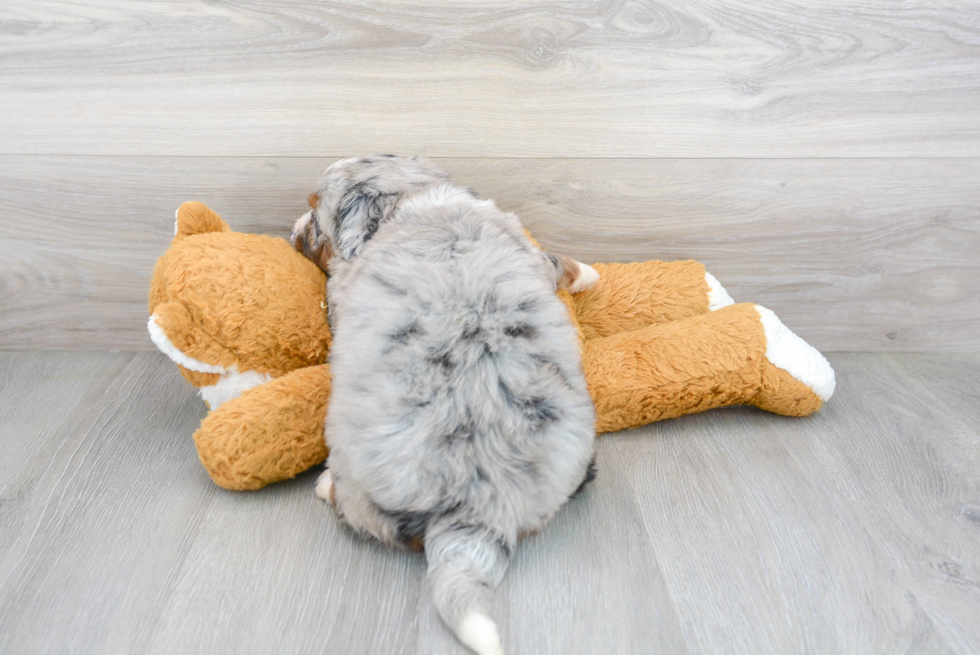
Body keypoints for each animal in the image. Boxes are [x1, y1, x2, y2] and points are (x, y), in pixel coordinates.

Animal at [290, 155, 596, 655]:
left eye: (316, 211)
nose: (292, 231)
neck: (414, 199)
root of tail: (479, 497)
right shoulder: (527, 247)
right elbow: (557, 261)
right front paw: (591, 272)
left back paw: (324, 484)